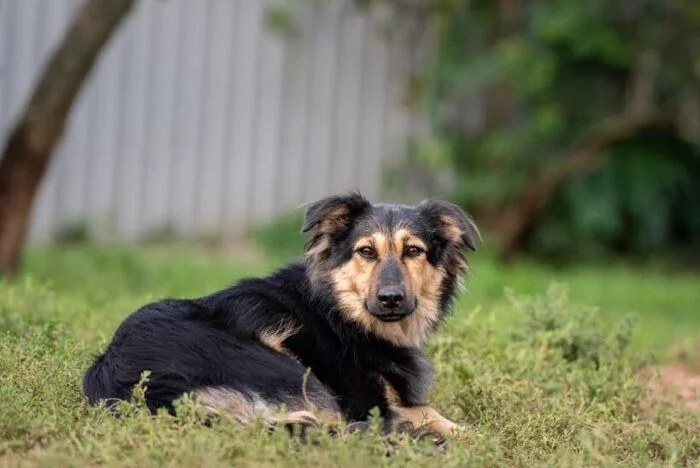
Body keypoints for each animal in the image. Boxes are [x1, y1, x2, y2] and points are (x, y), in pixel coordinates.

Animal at [79, 192, 478, 440]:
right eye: (366, 252)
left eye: (414, 251)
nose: (391, 299)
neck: (342, 315)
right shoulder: (365, 402)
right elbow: (428, 411)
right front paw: (469, 436)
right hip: (288, 370)